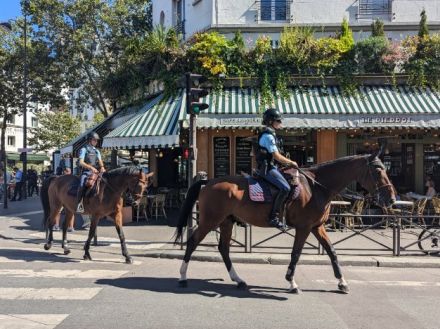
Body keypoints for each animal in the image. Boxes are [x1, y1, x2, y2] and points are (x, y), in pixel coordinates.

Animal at [174, 151, 396, 292]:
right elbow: (296, 253)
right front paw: (291, 282)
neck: (316, 187)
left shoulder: (317, 227)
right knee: (192, 242)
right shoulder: (304, 227)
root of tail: (208, 181)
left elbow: (332, 252)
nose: (392, 198)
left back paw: (238, 280)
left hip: (226, 222)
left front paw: (342, 282)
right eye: (378, 171)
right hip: (210, 220)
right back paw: (183, 277)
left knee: (224, 249)